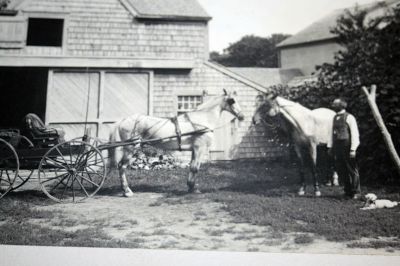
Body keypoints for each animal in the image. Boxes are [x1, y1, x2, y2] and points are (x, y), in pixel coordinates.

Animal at [108, 90, 244, 196]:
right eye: (232, 100)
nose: (242, 116)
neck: (201, 120)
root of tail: (123, 120)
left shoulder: (194, 149)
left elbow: (192, 166)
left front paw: (191, 187)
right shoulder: (199, 147)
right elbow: (195, 168)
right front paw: (192, 188)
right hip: (131, 148)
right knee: (122, 167)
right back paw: (127, 191)